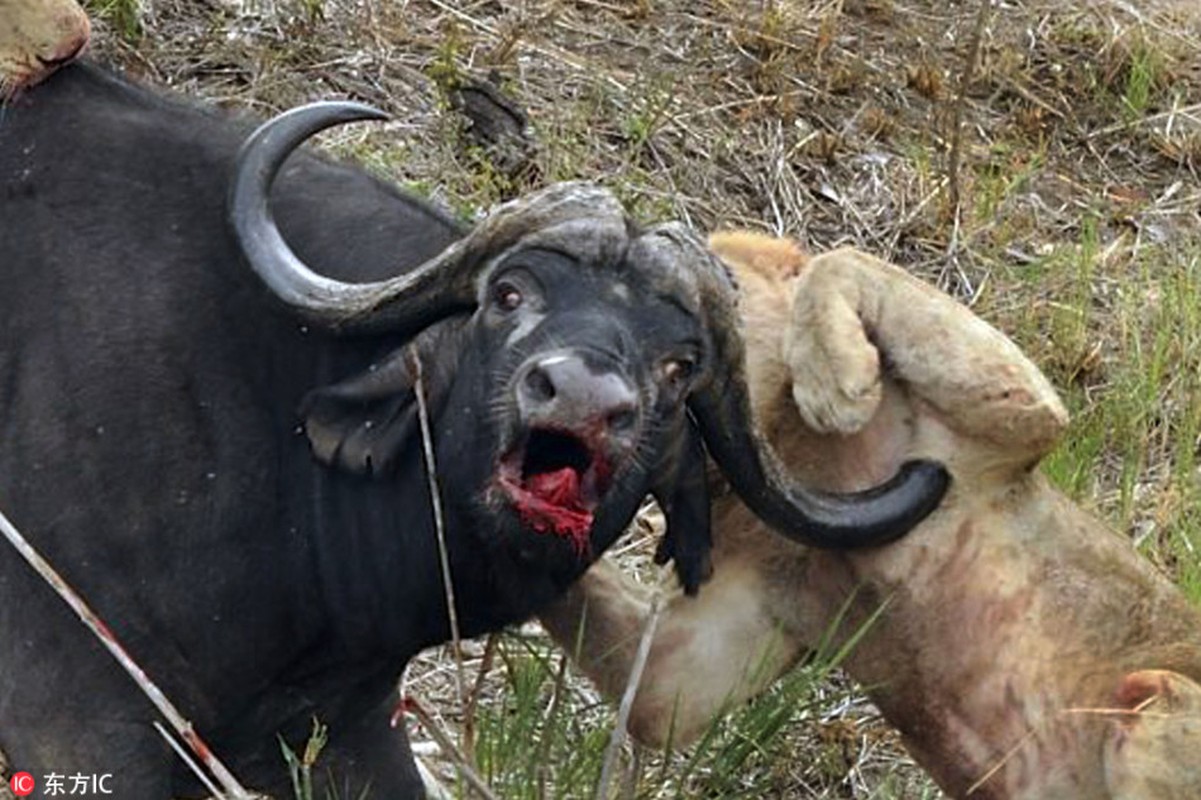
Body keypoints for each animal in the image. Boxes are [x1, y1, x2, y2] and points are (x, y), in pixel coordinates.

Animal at [542, 230, 1201, 797]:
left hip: (1157, 704)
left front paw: (839, 389)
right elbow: (653, 693)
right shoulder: (721, 639)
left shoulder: (1016, 411)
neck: (795, 454)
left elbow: (839, 261)